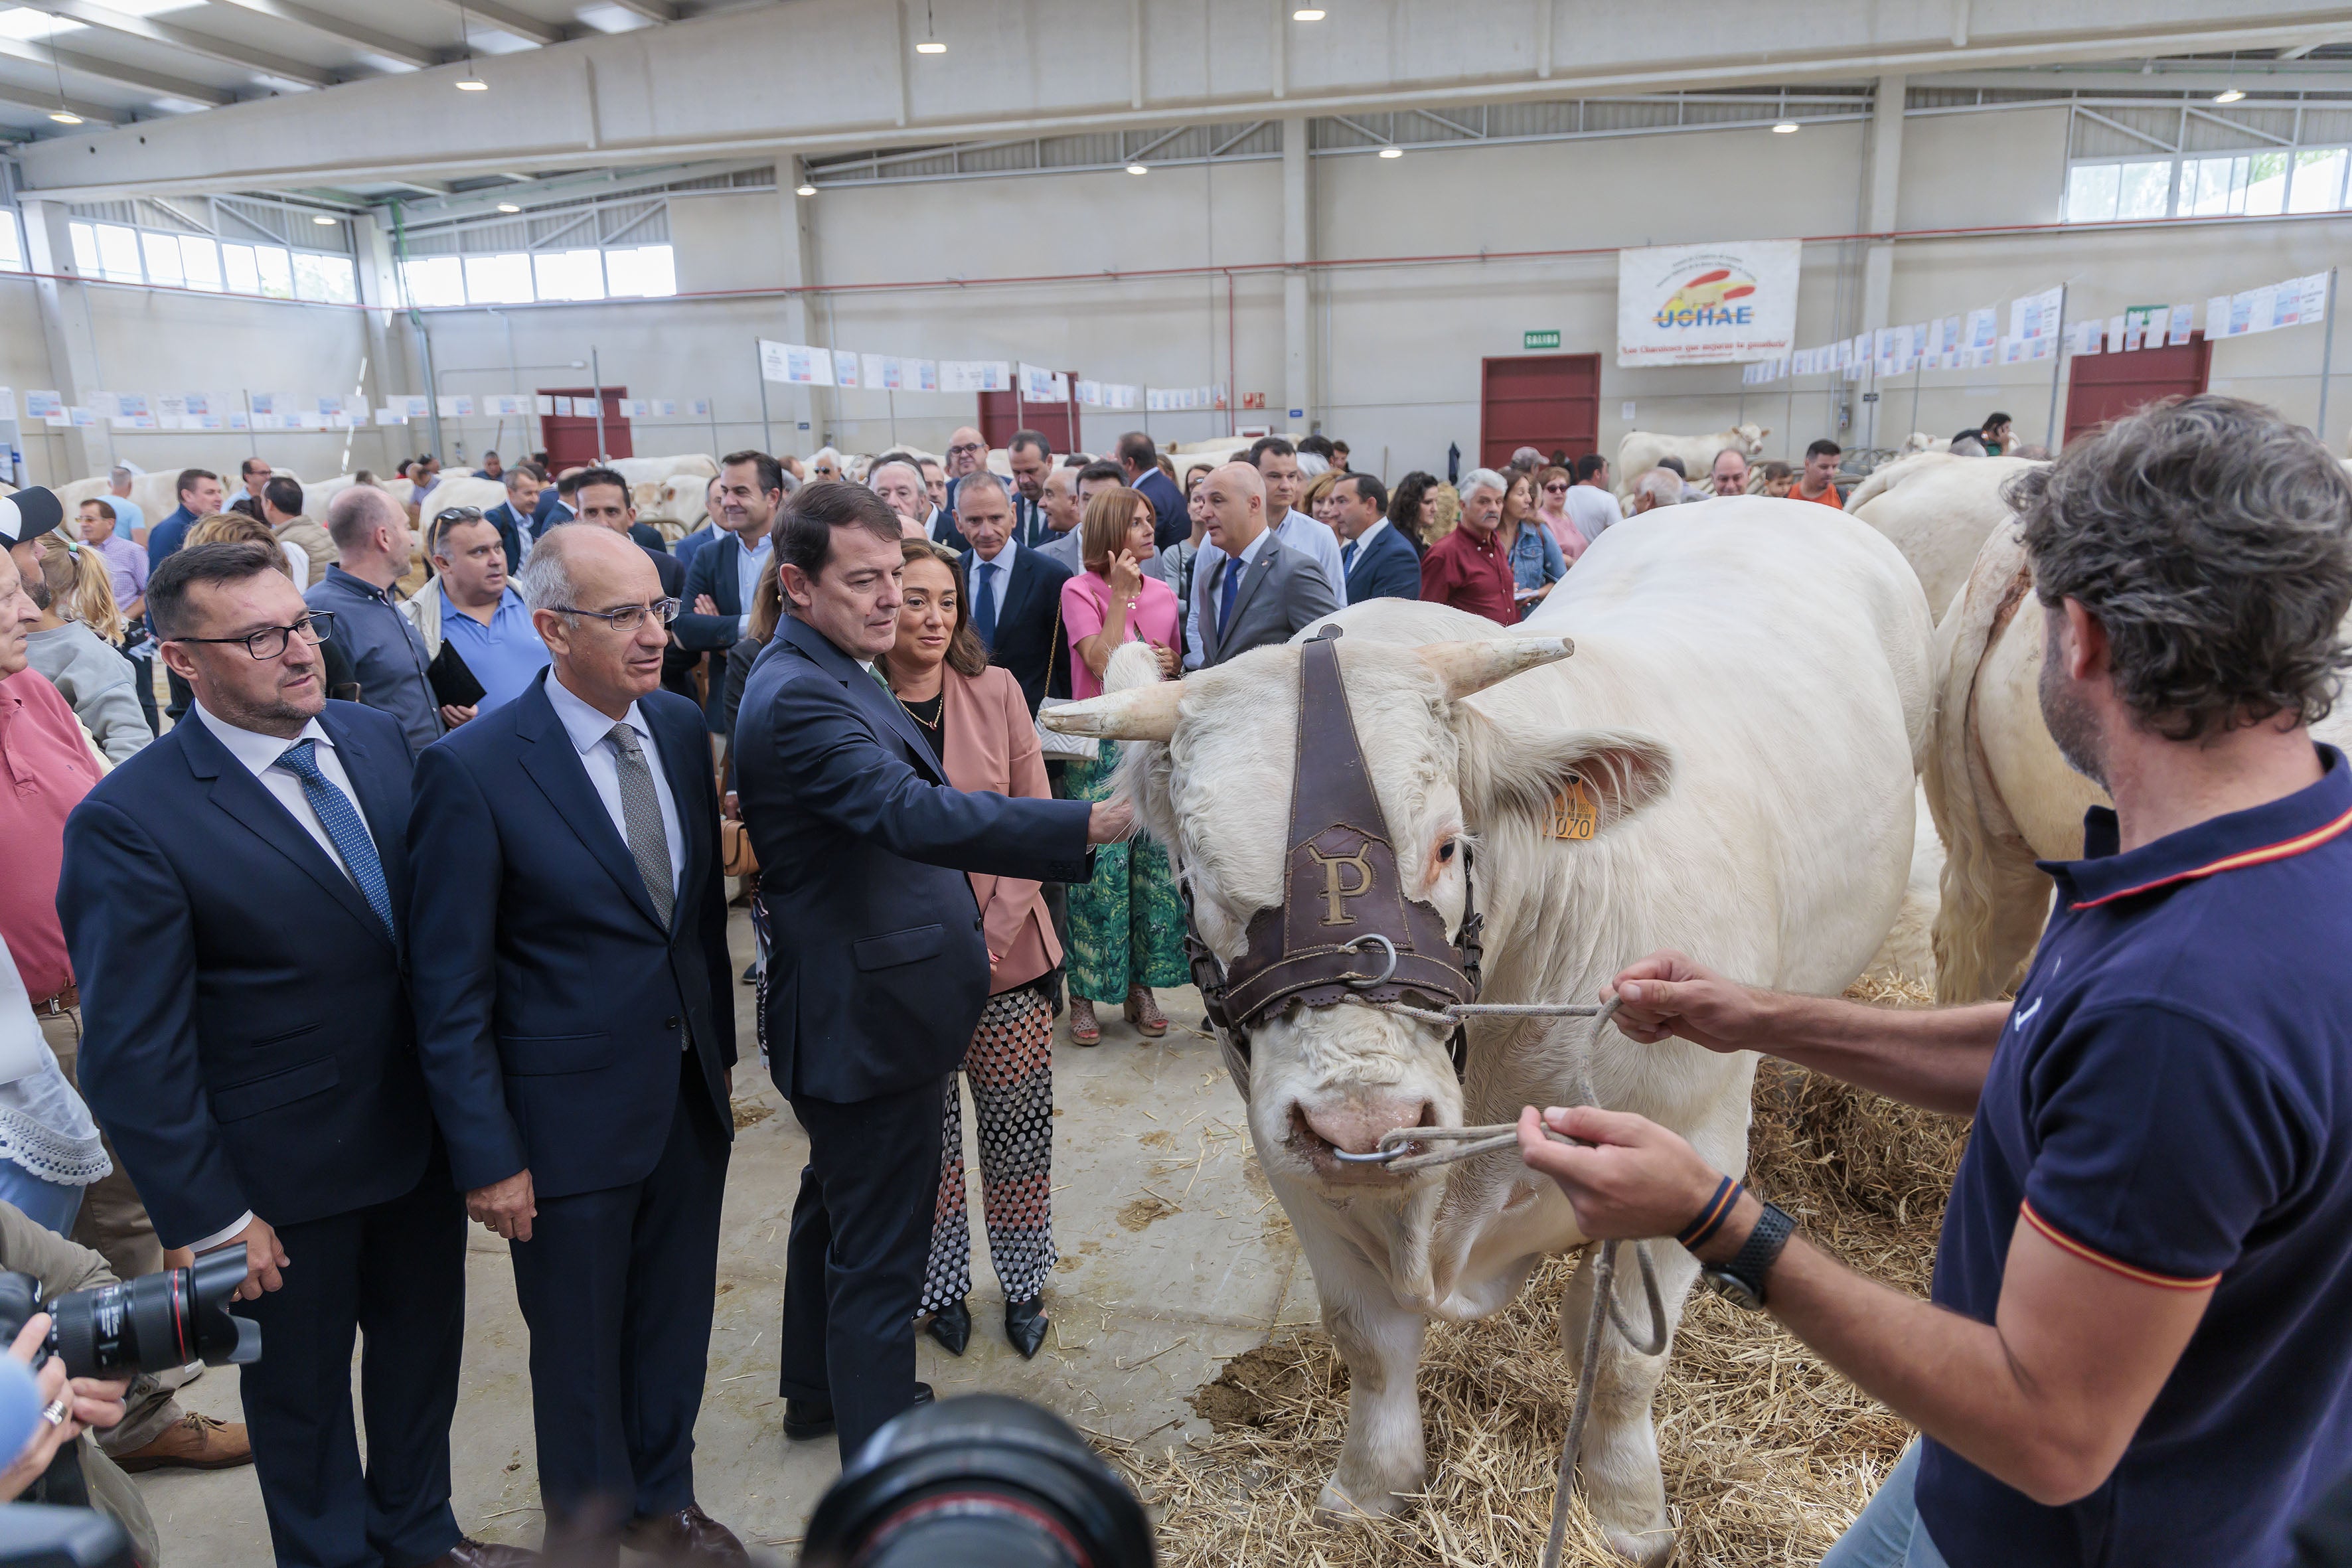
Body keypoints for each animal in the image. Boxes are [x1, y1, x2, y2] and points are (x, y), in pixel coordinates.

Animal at [1054, 503, 1928, 1561]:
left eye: (1444, 844)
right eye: (1200, 879)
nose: (1367, 1118)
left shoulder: (1692, 1143)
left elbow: (1621, 1360)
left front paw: (1627, 1515)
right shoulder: (1296, 1160)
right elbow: (1368, 1335)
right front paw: (1369, 1489)